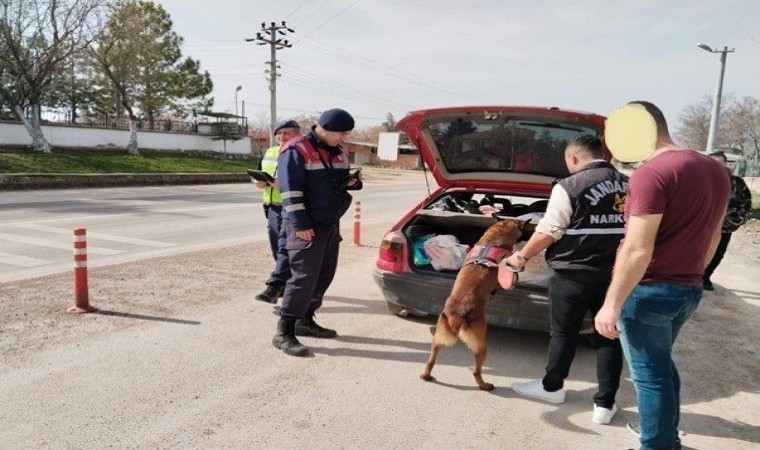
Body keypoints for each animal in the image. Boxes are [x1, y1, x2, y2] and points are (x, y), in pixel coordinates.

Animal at [422, 218, 528, 390]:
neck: (494, 238)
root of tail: (458, 315)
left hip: (437, 337)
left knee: (431, 359)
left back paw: (426, 375)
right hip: (481, 345)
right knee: (476, 371)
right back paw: (485, 386)